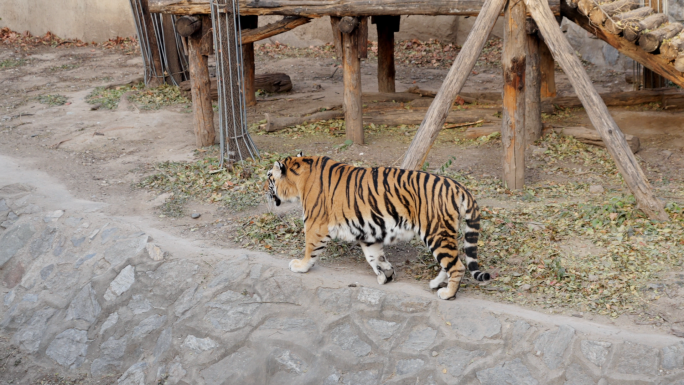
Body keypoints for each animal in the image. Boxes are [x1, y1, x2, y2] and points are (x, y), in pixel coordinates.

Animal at [264, 152, 488, 298]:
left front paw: (300, 266)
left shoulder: (315, 224)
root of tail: (457, 186)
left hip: (436, 232)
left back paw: (447, 293)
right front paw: (386, 275)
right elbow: (374, 256)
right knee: (448, 263)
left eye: (269, 177)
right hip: (439, 234)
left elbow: (310, 249)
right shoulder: (368, 230)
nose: (263, 189)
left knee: (457, 266)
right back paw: (434, 284)